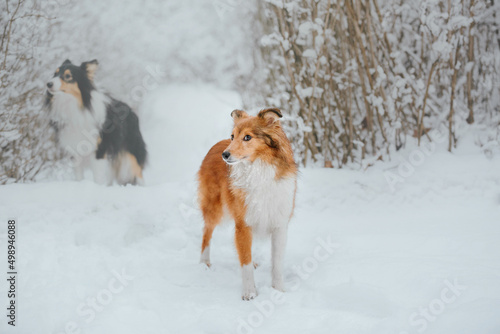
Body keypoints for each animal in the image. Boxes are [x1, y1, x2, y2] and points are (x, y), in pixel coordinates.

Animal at [196, 107, 296, 300]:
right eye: (233, 136)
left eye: (247, 137)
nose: (225, 155)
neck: (258, 170)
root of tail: (216, 145)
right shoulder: (243, 224)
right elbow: (245, 263)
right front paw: (250, 293)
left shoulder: (279, 225)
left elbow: (277, 263)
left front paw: (278, 290)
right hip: (214, 208)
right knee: (207, 232)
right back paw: (204, 263)